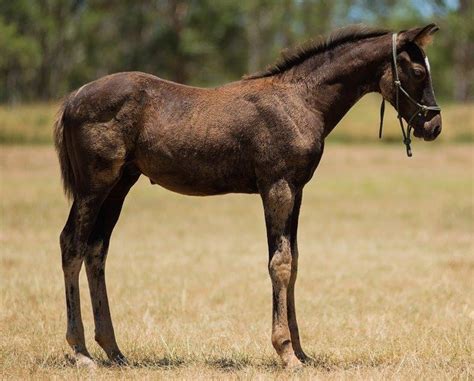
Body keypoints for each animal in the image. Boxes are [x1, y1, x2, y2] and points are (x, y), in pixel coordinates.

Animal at [54, 23, 440, 366]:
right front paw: (285, 352)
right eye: (418, 71)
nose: (434, 125)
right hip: (94, 187)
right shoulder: (277, 187)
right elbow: (280, 264)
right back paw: (81, 351)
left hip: (120, 185)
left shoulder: (297, 190)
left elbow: (294, 261)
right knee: (72, 244)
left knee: (96, 251)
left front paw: (301, 351)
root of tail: (73, 97)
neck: (301, 100)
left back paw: (113, 350)